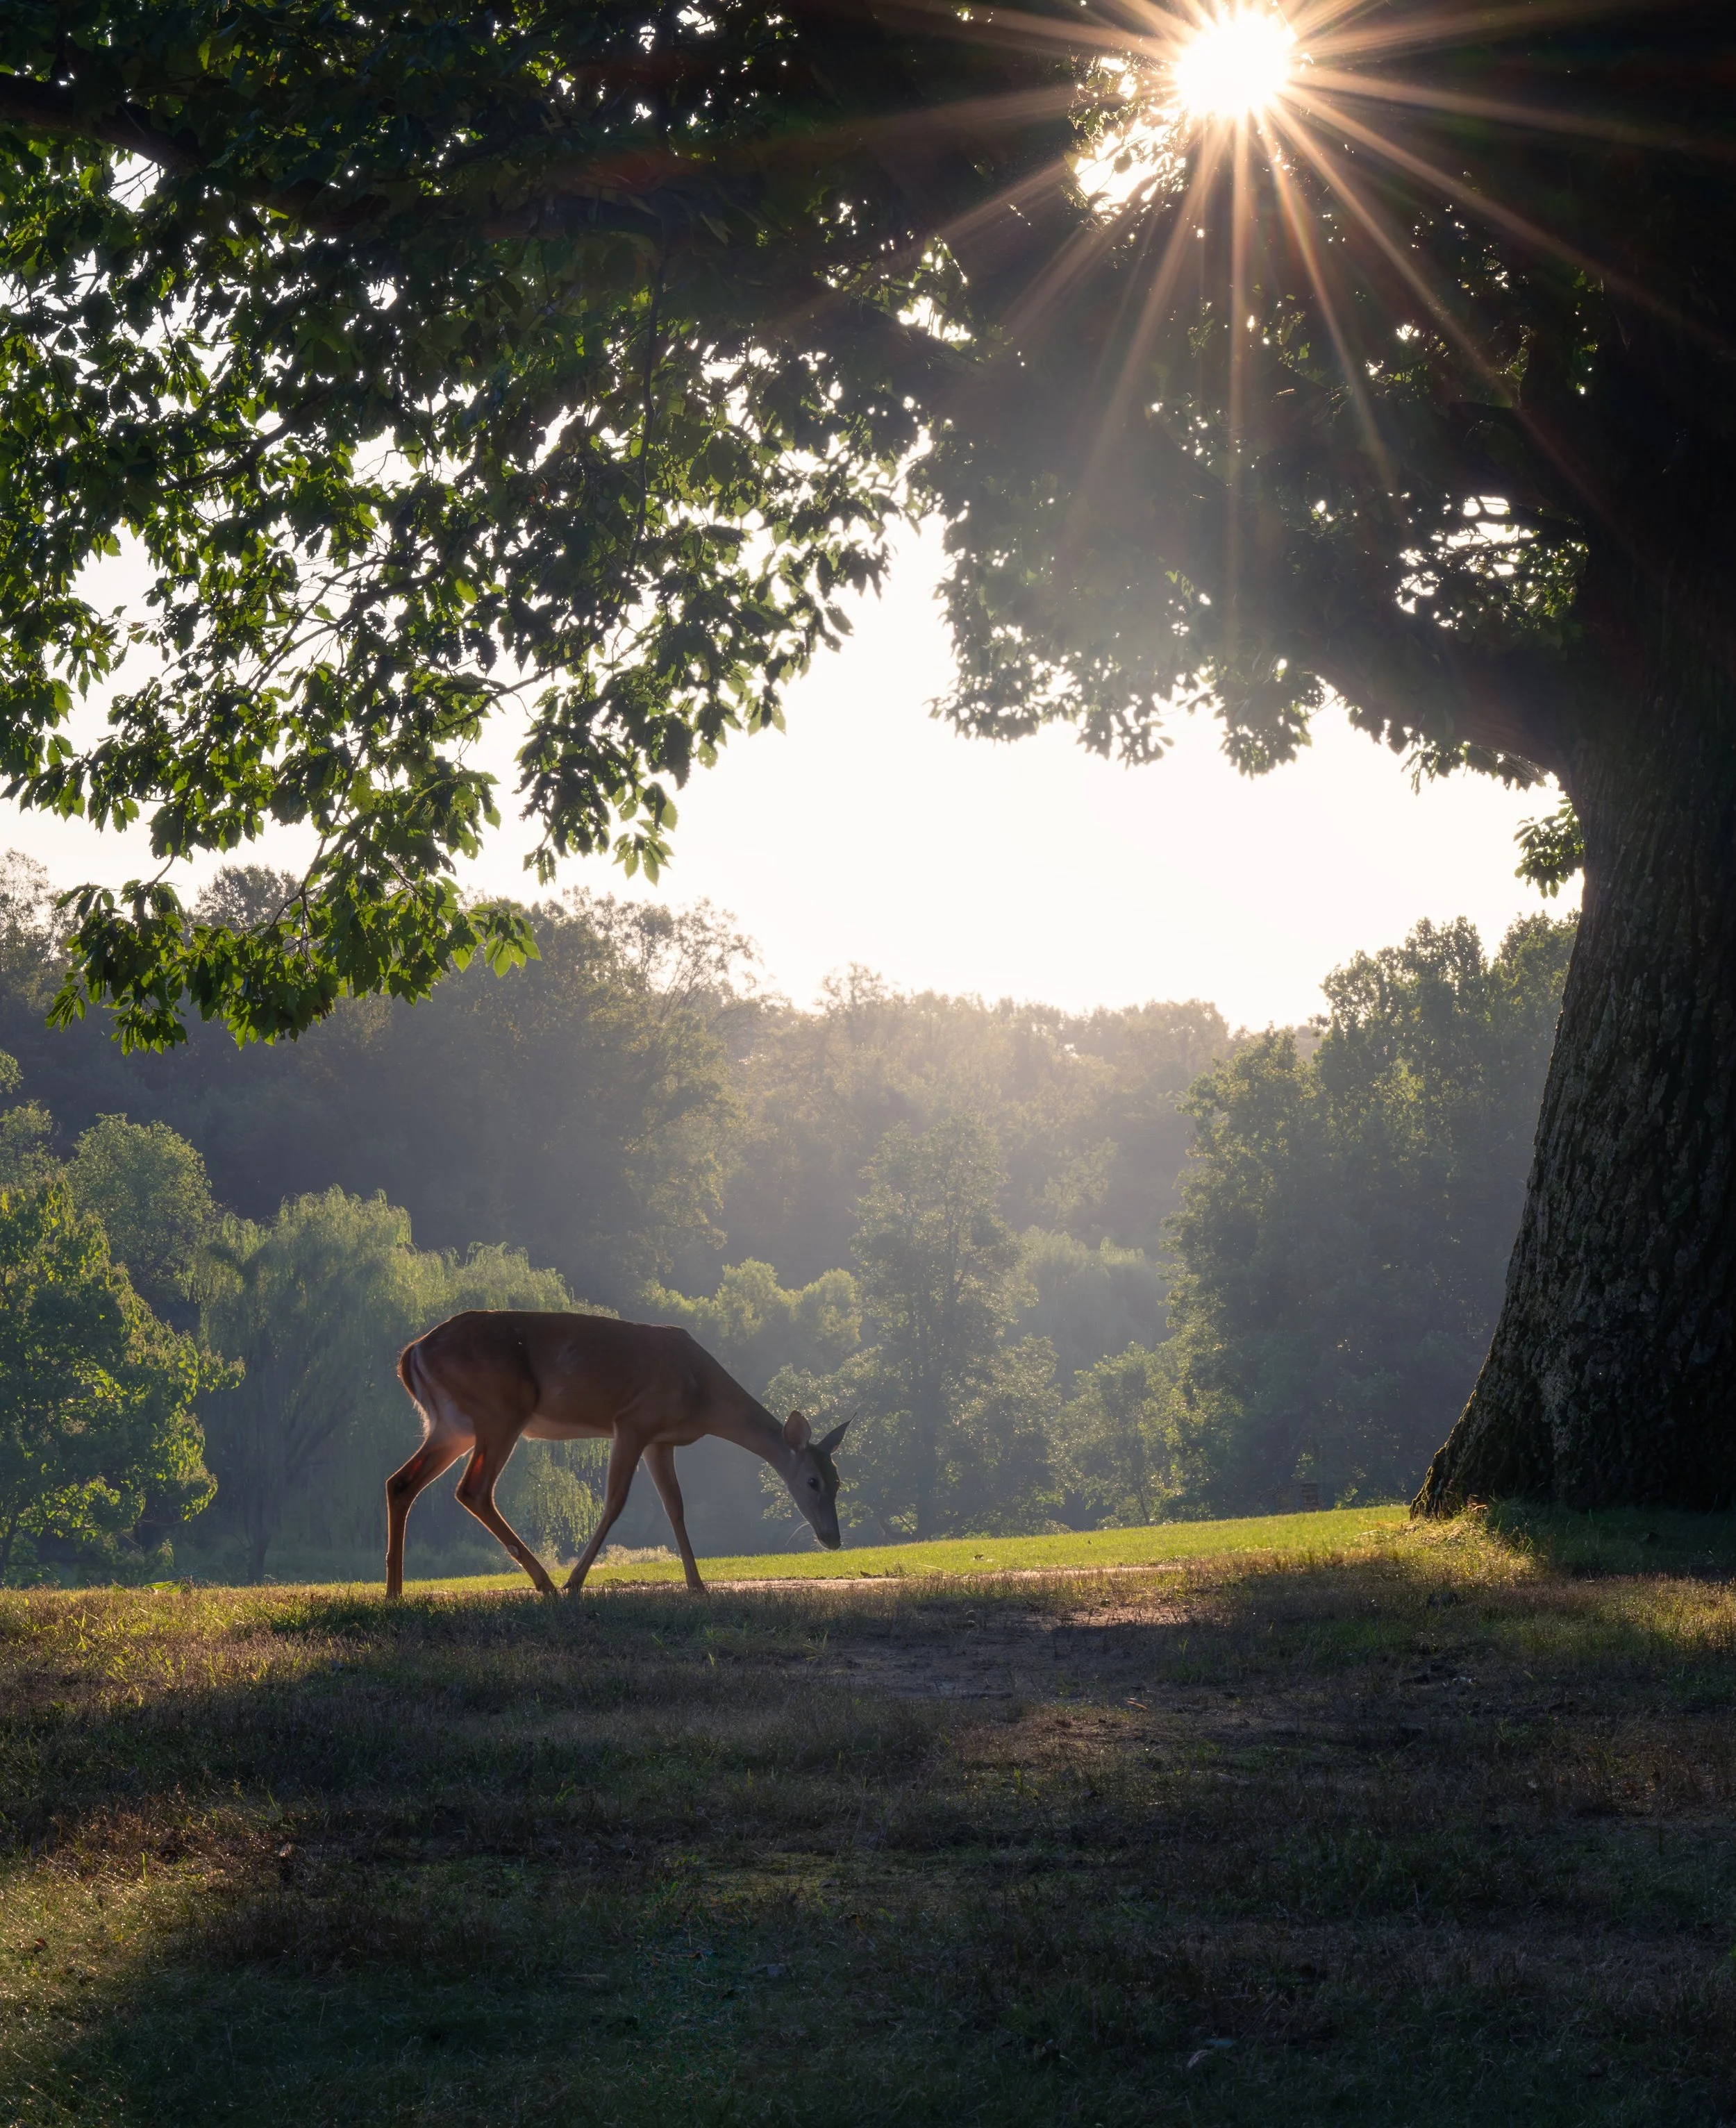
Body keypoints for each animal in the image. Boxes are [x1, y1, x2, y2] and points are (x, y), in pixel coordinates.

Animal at [385, 1310, 850, 1598]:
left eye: (839, 1481)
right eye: (812, 1481)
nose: (833, 1539)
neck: (702, 1393)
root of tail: (410, 1354)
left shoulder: (662, 1440)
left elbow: (675, 1507)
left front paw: (697, 1584)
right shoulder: (632, 1422)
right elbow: (615, 1501)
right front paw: (575, 1582)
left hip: (451, 1425)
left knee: (400, 1483)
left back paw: (394, 1591)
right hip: (499, 1410)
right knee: (473, 1489)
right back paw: (547, 1583)